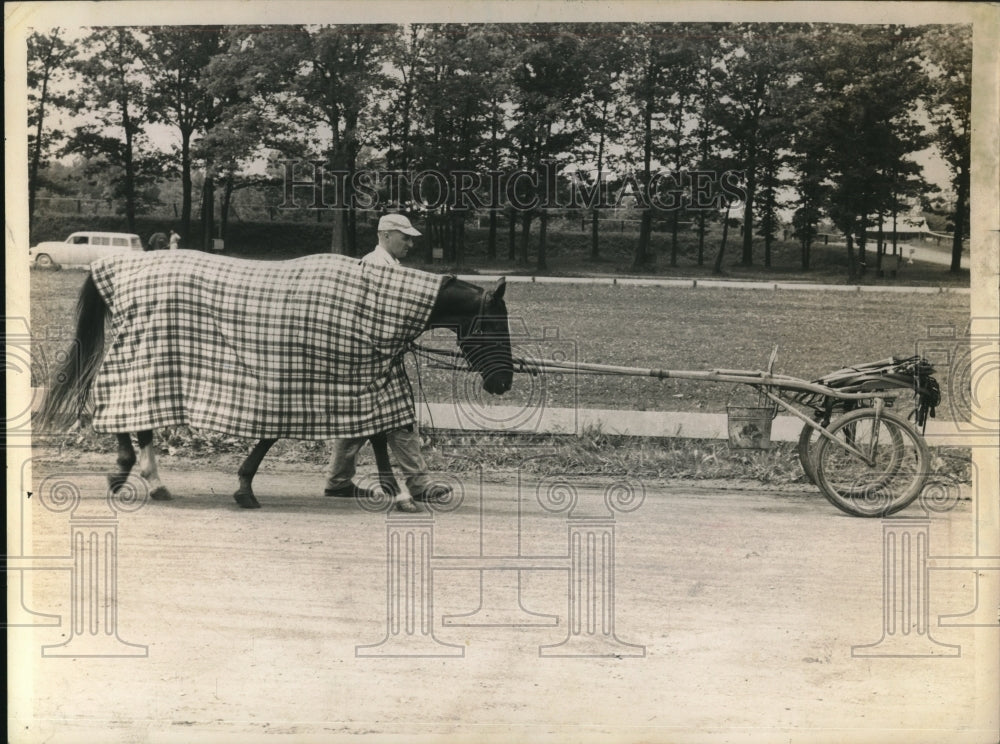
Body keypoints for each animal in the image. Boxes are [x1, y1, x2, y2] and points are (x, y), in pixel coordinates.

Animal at [37, 251, 516, 512]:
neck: (368, 308)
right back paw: (127, 473)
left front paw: (397, 493)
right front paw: (245, 487)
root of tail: (117, 268)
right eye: (494, 325)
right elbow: (278, 436)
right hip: (145, 359)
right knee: (122, 408)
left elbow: (379, 434)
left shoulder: (358, 380)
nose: (504, 382)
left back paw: (152, 481)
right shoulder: (303, 381)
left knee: (138, 419)